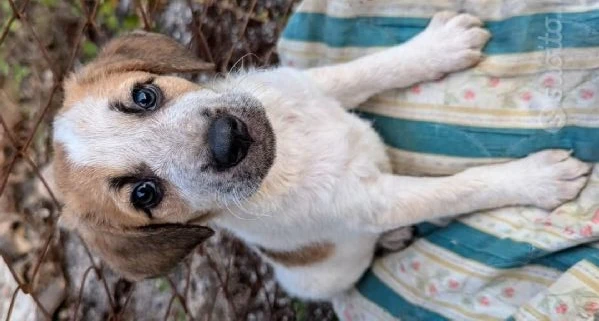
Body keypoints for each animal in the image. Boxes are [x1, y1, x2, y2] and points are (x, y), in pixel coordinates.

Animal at [51, 11, 592, 298]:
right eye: (145, 194)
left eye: (144, 96)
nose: (228, 139)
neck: (288, 153)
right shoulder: (375, 202)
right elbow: (457, 189)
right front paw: (537, 179)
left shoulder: (304, 84)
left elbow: (366, 69)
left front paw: (437, 46)